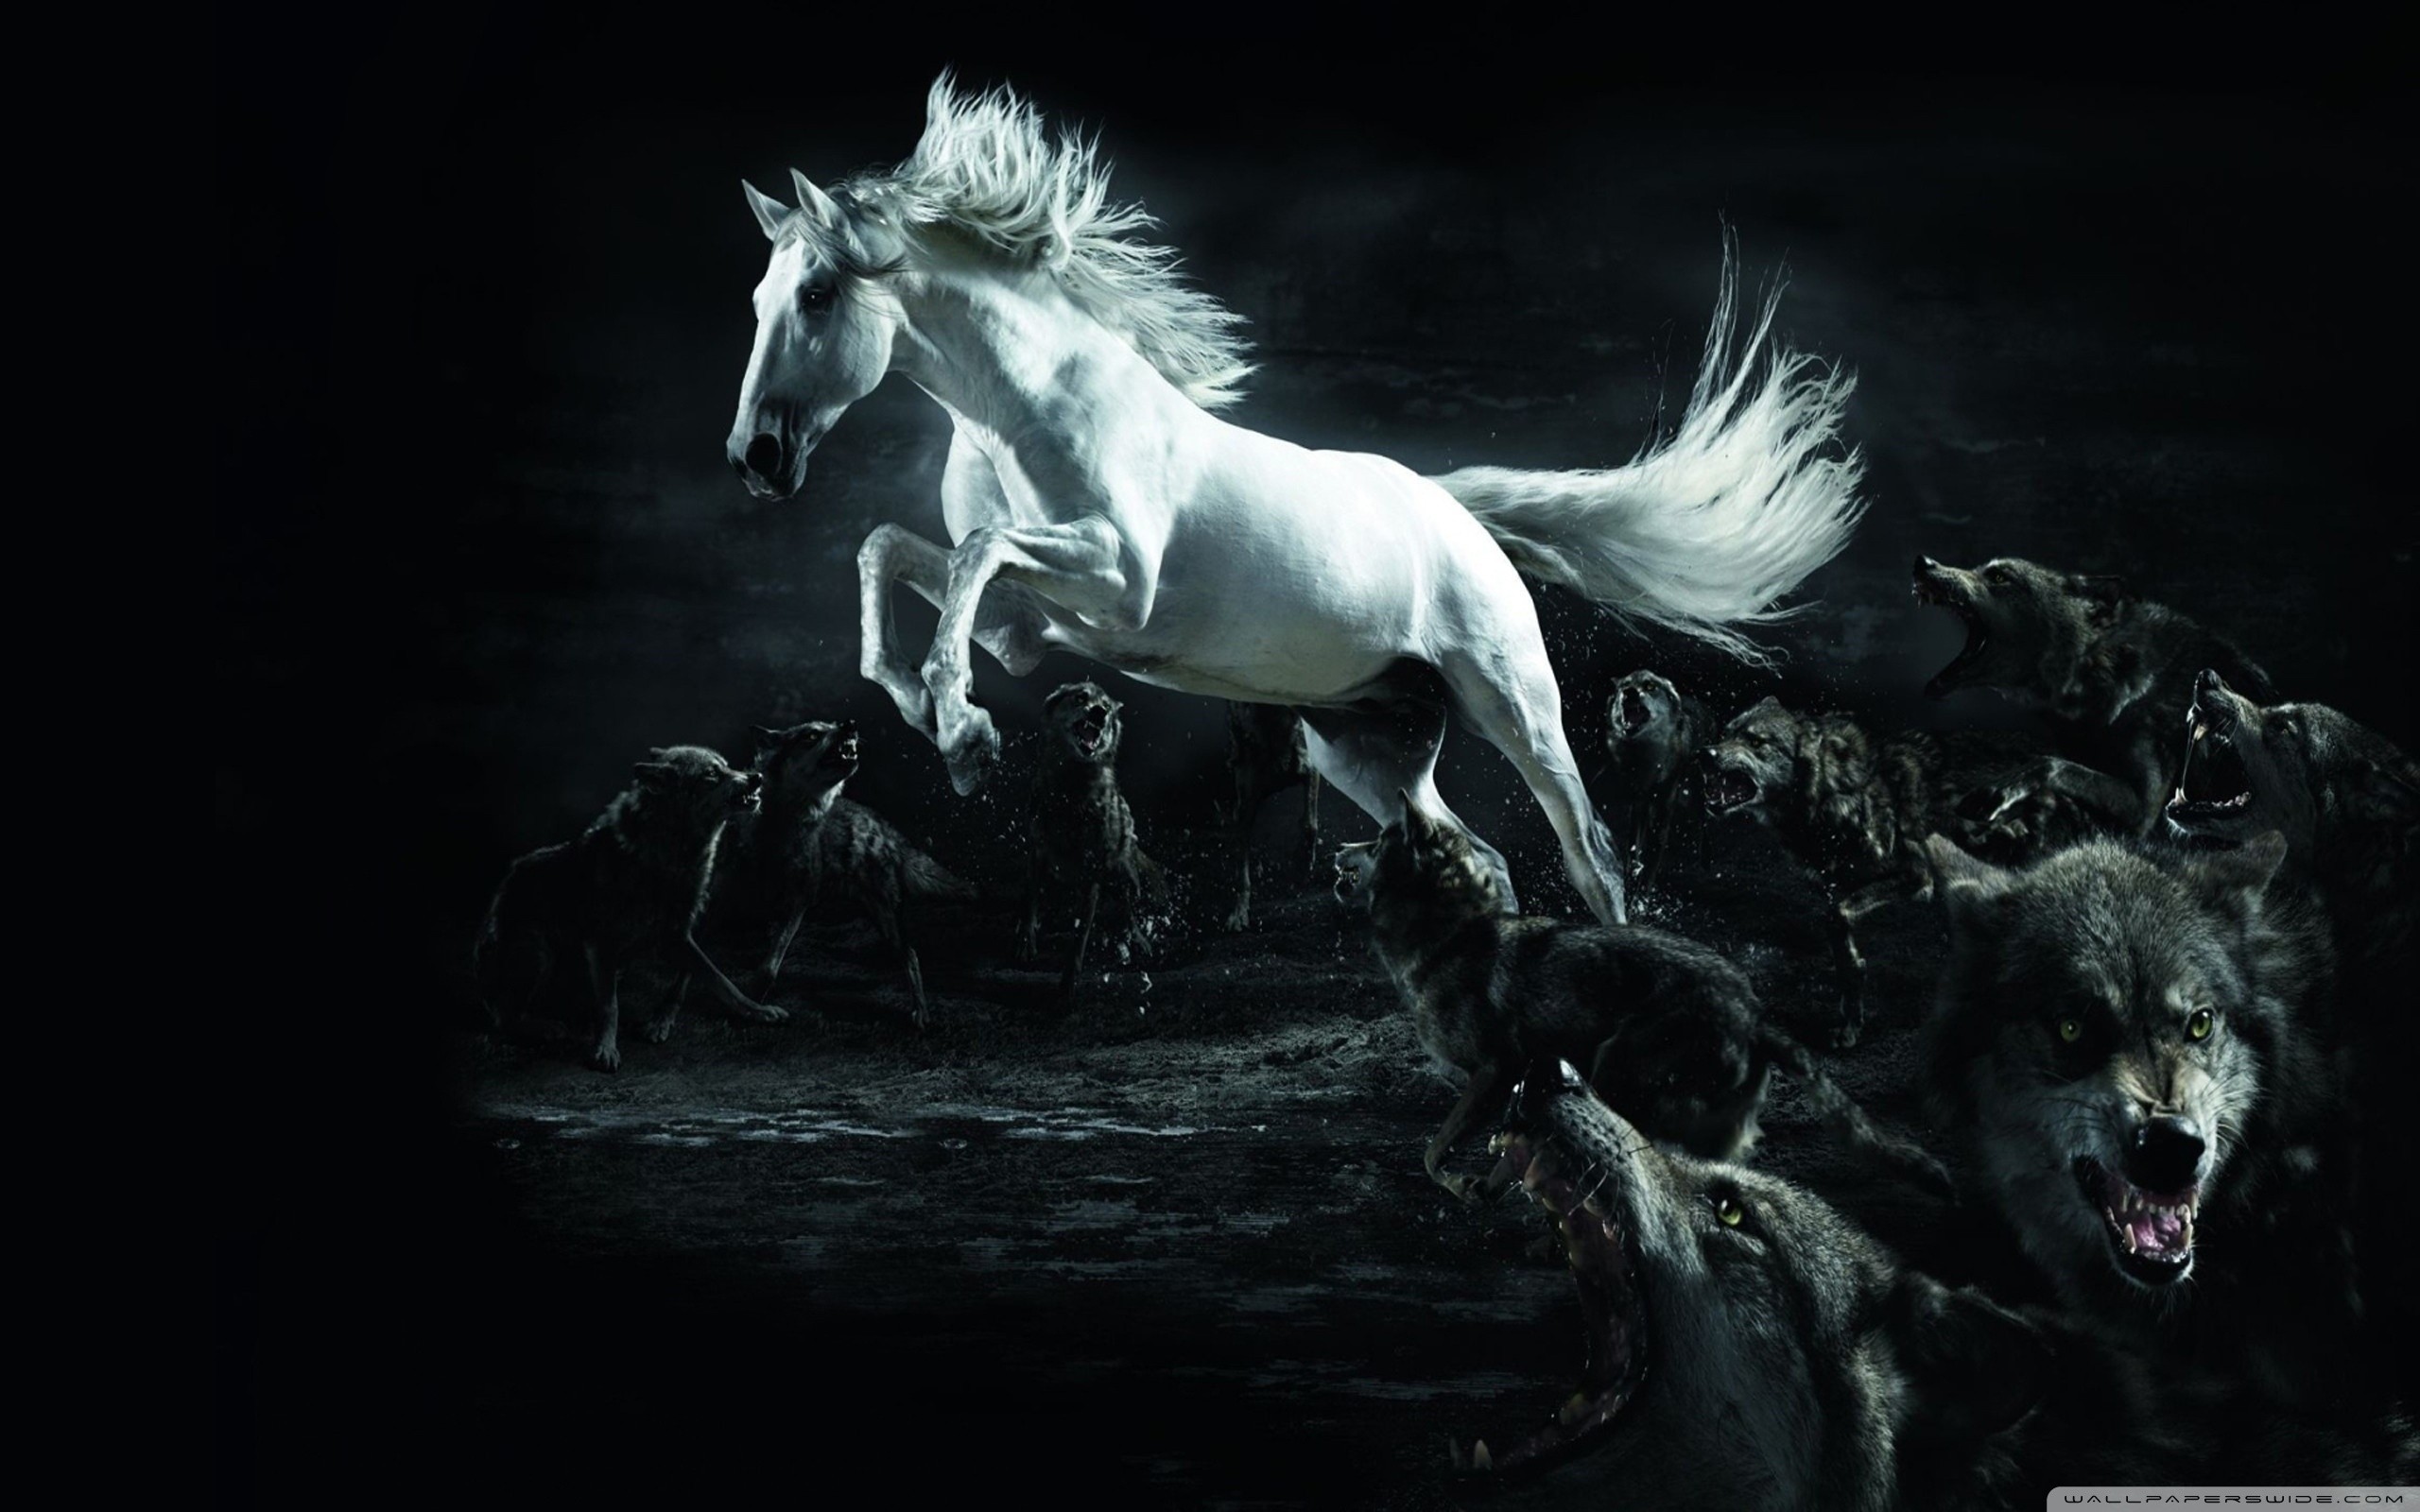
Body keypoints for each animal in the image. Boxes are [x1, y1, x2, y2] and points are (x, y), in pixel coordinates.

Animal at [725, 78, 1865, 925]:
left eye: (817, 295)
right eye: (757, 298)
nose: (754, 457)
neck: (1029, 406)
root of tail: (1457, 514)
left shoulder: (1115, 585)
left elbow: (971, 552)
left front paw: (961, 733)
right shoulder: (1030, 624)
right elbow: (890, 550)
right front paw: (937, 716)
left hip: (1514, 706)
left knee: (1591, 856)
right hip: (1370, 747)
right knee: (1484, 858)